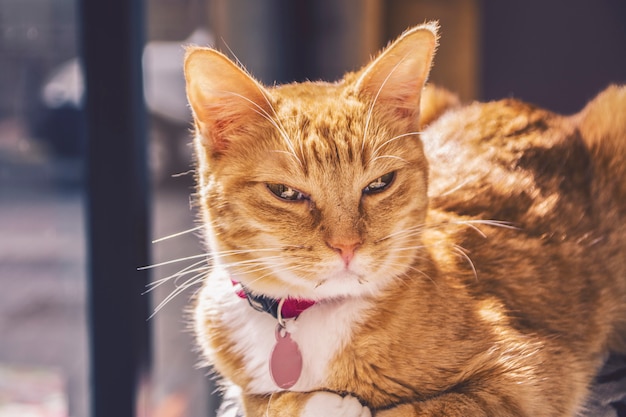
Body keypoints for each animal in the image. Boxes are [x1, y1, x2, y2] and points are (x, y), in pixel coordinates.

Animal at [183, 22, 624, 416]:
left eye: (380, 184)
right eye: (286, 193)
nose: (347, 246)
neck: (303, 319)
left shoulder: (532, 376)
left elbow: (408, 411)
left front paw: (337, 404)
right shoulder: (243, 388)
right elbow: (262, 402)